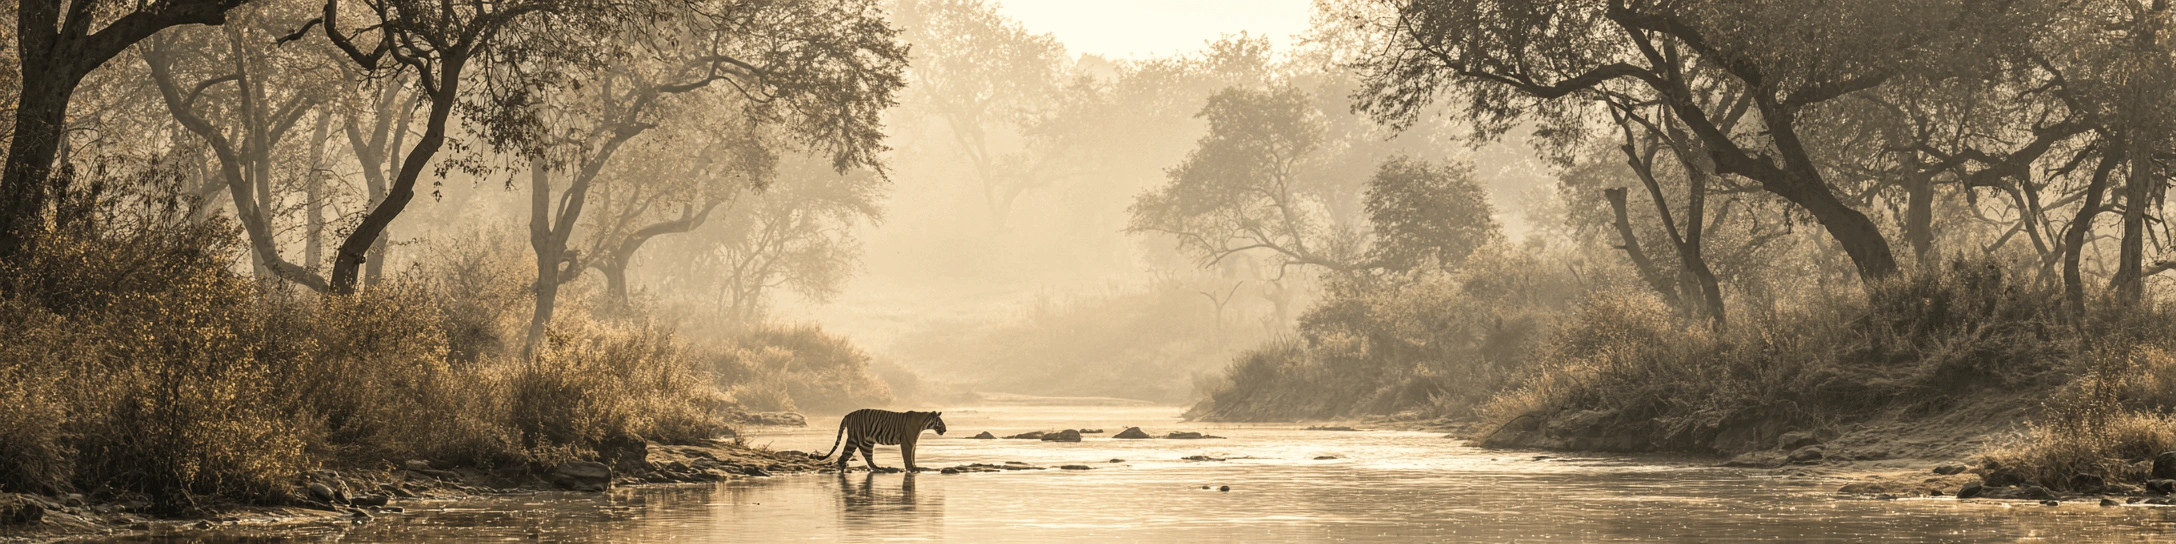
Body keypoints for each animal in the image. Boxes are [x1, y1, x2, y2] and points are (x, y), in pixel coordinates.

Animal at [812, 409, 948, 471]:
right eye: (940, 421)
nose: (945, 429)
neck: (923, 424)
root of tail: (847, 415)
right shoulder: (907, 442)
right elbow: (908, 457)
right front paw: (911, 468)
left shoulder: (913, 443)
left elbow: (912, 456)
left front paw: (914, 466)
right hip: (854, 440)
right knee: (843, 456)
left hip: (867, 442)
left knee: (867, 458)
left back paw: (879, 468)